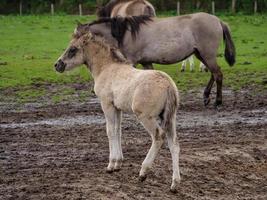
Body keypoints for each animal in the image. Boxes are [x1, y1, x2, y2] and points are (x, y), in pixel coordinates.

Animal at [54, 28, 182, 192]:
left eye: (72, 49)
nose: (57, 65)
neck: (106, 67)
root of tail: (168, 84)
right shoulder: (117, 108)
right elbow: (118, 131)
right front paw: (118, 163)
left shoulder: (106, 104)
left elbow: (110, 131)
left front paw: (111, 165)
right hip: (170, 117)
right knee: (174, 144)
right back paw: (174, 183)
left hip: (145, 117)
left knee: (158, 136)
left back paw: (143, 172)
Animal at [74, 12, 236, 108]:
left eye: (78, 38)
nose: (71, 51)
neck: (124, 33)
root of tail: (218, 21)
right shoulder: (146, 62)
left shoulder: (131, 61)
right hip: (201, 55)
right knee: (213, 74)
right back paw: (206, 97)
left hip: (207, 55)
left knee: (218, 74)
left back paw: (217, 102)